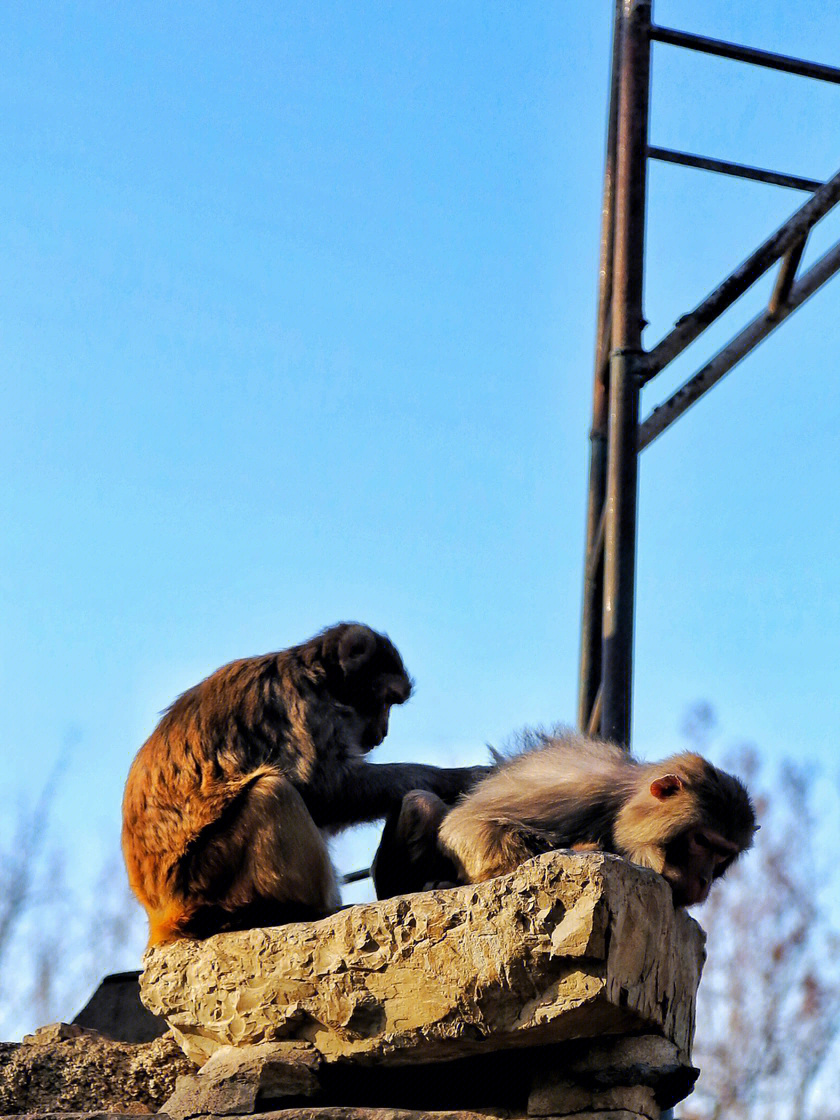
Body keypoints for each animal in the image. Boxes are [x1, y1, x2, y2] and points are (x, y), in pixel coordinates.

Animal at [119, 622, 486, 945]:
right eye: (387, 701)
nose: (383, 731)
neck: (315, 673)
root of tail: (163, 916)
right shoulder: (303, 703)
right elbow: (324, 790)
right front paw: (464, 777)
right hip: (208, 879)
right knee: (272, 792)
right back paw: (306, 908)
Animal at [371, 730, 761, 904]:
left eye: (723, 853)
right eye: (701, 841)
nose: (704, 879)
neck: (620, 805)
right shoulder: (577, 790)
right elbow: (465, 824)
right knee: (423, 803)